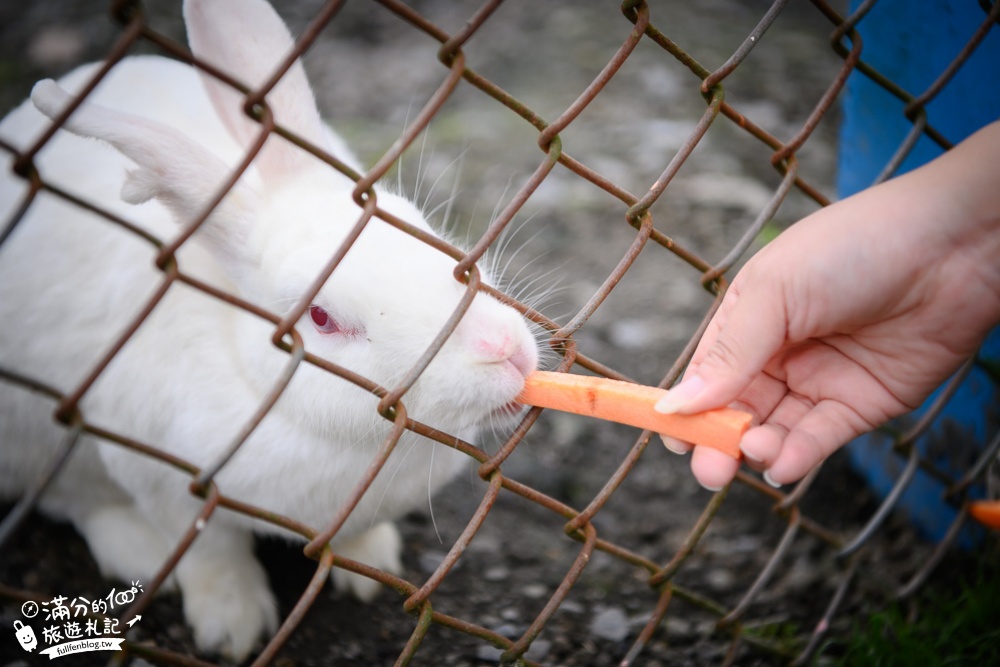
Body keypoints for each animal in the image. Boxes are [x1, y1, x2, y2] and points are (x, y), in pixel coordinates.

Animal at [0, 0, 540, 660]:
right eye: (322, 317)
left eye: (421, 226)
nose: (506, 350)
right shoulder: (165, 481)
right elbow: (211, 552)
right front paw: (232, 627)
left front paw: (370, 565)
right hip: (32, 434)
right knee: (74, 499)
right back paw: (139, 554)